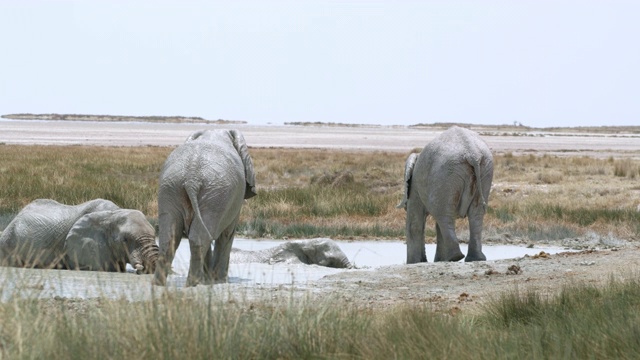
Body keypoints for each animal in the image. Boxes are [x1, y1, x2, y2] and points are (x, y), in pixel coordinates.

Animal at [152, 129, 255, 286]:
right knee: (201, 237)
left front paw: (209, 280)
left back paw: (159, 284)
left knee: (170, 237)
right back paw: (193, 284)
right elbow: (227, 233)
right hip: (216, 195)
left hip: (171, 188)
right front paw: (218, 281)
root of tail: (191, 178)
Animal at [396, 126, 496, 262]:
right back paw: (473, 259)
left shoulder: (415, 186)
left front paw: (413, 263)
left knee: (443, 215)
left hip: (446, 173)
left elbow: (414, 223)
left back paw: (455, 257)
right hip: (484, 170)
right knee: (475, 214)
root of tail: (472, 153)